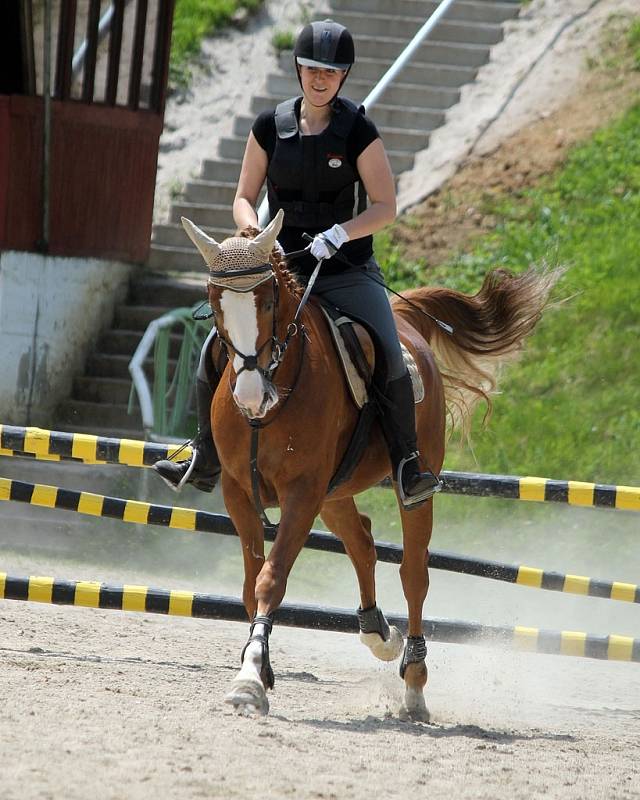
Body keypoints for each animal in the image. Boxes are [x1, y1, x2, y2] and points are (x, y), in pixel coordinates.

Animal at [182, 208, 556, 720]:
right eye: (215, 303)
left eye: (268, 301)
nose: (251, 397)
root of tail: (403, 319)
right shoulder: (240, 493)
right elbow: (249, 585)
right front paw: (257, 668)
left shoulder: (302, 494)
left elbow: (270, 580)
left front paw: (250, 680)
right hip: (333, 493)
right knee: (361, 540)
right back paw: (378, 632)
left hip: (404, 484)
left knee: (414, 573)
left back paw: (413, 682)